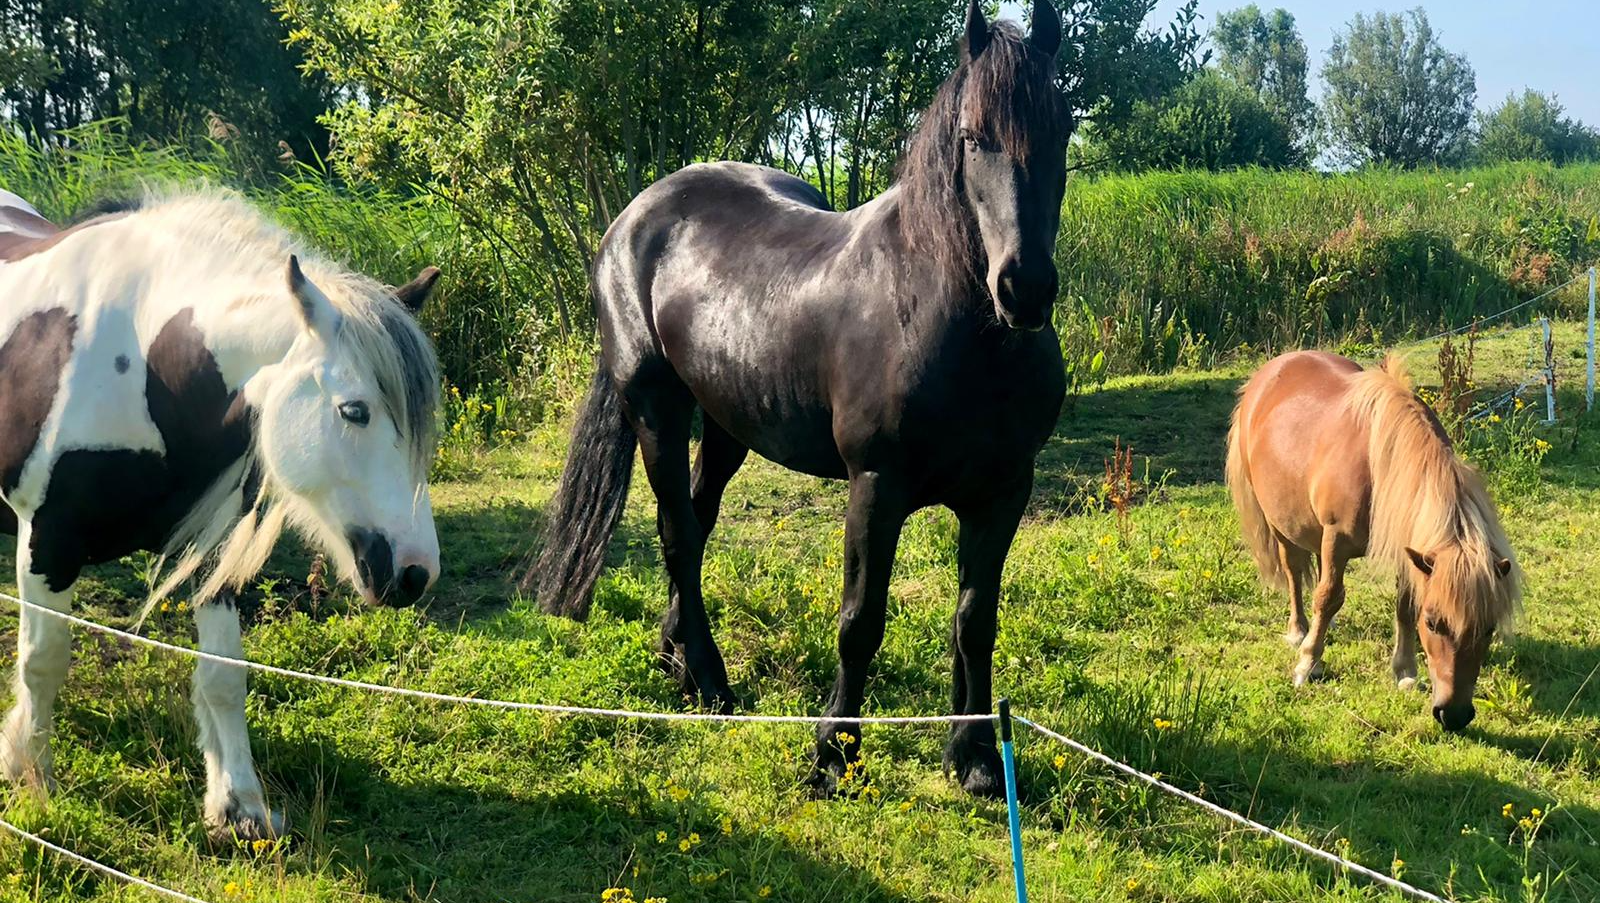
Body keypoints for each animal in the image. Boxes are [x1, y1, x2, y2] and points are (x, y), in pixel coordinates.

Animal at [0, 190, 443, 839]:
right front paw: (30, 779)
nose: (415, 572)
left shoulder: (211, 554)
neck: (146, 369)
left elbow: (223, 674)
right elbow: (43, 661)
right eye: (354, 410)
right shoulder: (48, 542)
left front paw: (239, 807)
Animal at [526, 0, 1070, 797]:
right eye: (975, 139)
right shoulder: (876, 486)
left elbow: (976, 621)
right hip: (656, 408)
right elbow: (861, 621)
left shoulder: (1003, 493)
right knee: (677, 532)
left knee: (698, 523)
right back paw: (711, 684)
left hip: (728, 425)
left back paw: (675, 658)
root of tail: (636, 215)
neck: (944, 318)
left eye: (1061, 130)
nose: (1023, 288)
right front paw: (833, 755)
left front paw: (972, 758)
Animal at [1226, 351, 1521, 731]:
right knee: (1295, 574)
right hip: (1282, 526)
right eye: (1433, 623)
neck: (1379, 467)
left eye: (1489, 628)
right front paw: (1309, 663)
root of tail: (1271, 370)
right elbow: (1327, 596)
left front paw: (1405, 670)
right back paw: (1300, 631)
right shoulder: (1337, 538)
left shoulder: (1408, 553)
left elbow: (1402, 606)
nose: (1454, 715)